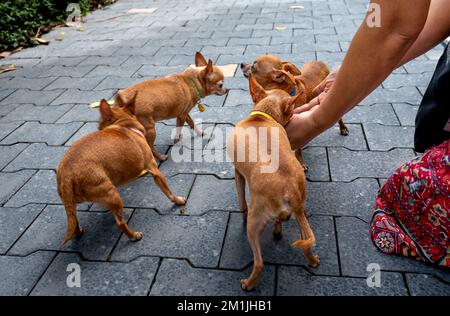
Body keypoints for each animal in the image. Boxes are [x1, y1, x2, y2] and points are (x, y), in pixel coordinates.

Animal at [56, 92, 186, 246]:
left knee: (73, 220)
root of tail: (67, 175)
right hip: (113, 195)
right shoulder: (154, 170)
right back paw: (134, 236)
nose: (98, 128)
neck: (124, 125)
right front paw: (178, 200)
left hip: (73, 202)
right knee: (120, 223)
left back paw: (79, 231)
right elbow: (168, 191)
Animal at [229, 74, 320, 292]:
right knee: (305, 242)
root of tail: (291, 192)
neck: (262, 116)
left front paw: (241, 213)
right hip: (301, 212)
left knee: (259, 263)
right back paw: (312, 260)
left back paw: (248, 283)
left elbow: (242, 203)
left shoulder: (238, 173)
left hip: (254, 224)